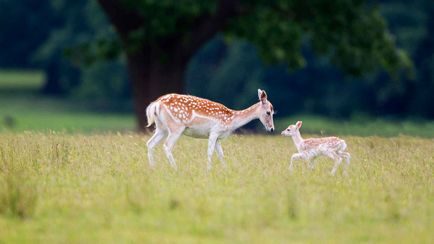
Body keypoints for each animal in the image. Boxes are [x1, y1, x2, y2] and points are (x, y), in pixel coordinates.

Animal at [146, 88, 274, 171]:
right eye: (268, 112)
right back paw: (175, 169)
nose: (272, 129)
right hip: (176, 127)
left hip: (161, 128)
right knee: (166, 146)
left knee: (150, 143)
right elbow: (210, 152)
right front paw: (208, 171)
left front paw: (226, 170)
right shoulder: (214, 131)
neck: (232, 120)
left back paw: (153, 168)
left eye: (273, 112)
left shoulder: (218, 137)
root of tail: (156, 104)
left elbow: (221, 154)